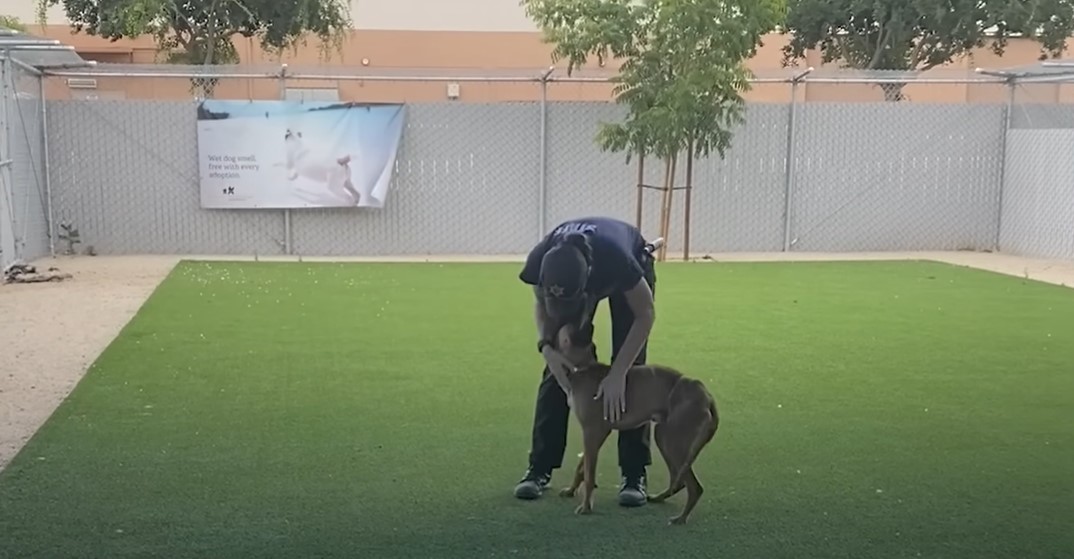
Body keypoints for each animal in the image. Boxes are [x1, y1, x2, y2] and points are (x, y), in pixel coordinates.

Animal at [554, 322, 721, 524]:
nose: (587, 323)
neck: (584, 367)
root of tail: (707, 396)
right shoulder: (597, 434)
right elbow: (581, 468)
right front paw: (571, 491)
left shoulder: (592, 432)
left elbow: (588, 473)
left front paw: (586, 507)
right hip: (665, 437)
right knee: (679, 481)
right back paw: (660, 498)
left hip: (673, 441)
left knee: (694, 487)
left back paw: (680, 518)